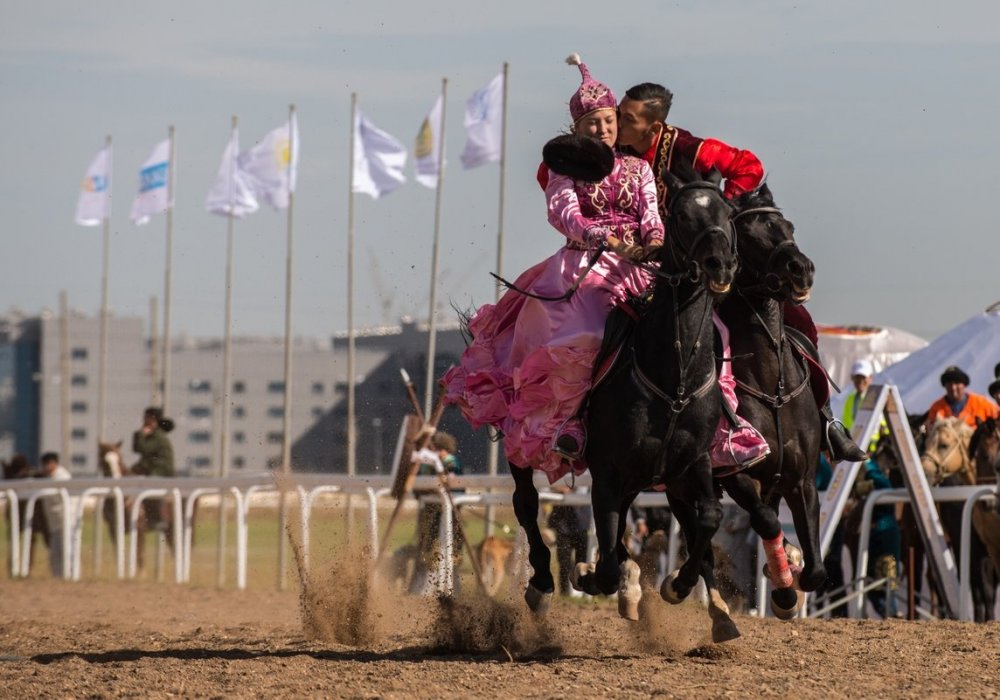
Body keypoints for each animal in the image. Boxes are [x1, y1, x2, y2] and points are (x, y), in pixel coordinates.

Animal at [720, 185, 828, 616]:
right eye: (749, 233)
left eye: (789, 227)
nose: (801, 269)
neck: (771, 387)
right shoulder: (736, 473)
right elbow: (765, 520)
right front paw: (782, 592)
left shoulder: (802, 479)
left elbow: (815, 571)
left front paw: (794, 566)